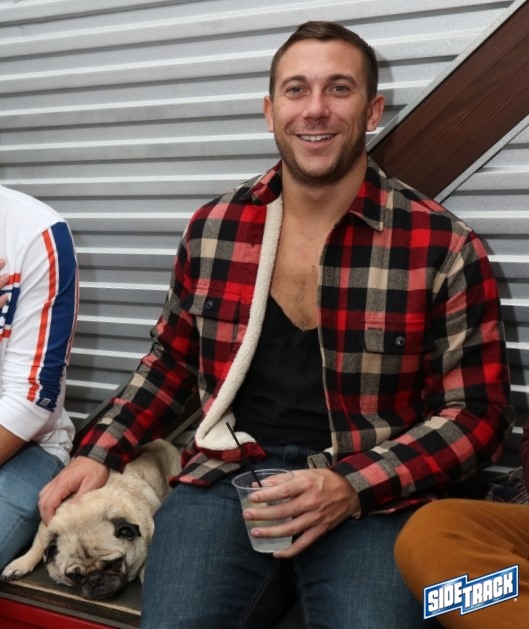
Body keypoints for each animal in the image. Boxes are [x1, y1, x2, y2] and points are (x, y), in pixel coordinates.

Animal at [1, 439, 180, 600]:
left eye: (114, 563)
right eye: (75, 576)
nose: (95, 579)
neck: (83, 515)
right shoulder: (45, 527)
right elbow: (38, 546)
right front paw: (20, 564)